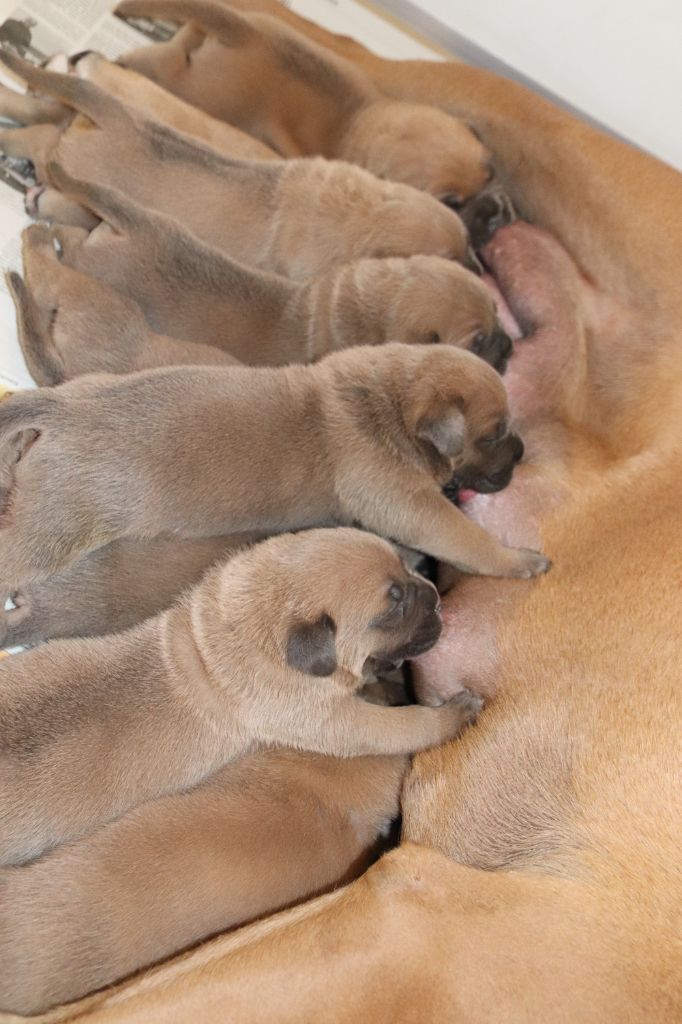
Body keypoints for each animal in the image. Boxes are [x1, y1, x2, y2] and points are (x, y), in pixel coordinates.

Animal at [0, 342, 548, 622]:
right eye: (493, 434)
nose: (523, 451)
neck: (387, 400)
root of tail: (66, 409)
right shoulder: (409, 504)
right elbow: (465, 538)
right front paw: (518, 560)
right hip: (54, 528)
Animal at [0, 524, 477, 868]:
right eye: (394, 607)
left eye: (405, 574)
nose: (436, 597)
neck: (232, 630)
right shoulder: (332, 721)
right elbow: (403, 725)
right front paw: (455, 714)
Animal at [41, 165, 509, 374]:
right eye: (477, 342)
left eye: (496, 308)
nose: (509, 349)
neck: (369, 304)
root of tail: (135, 221)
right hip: (92, 261)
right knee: (71, 245)